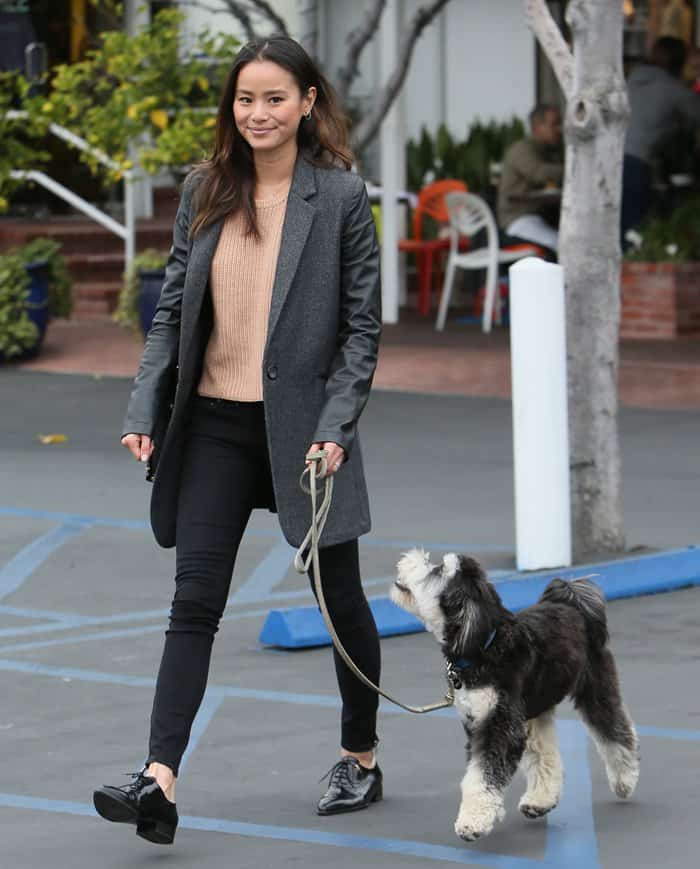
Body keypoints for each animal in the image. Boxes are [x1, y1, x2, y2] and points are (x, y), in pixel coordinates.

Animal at [392, 548, 644, 840]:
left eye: (438, 570)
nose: (408, 557)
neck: (485, 645)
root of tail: (572, 602)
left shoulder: (498, 724)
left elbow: (482, 775)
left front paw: (473, 821)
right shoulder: (480, 720)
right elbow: (483, 770)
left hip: (594, 686)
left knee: (614, 730)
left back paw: (624, 780)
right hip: (533, 709)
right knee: (544, 751)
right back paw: (540, 800)